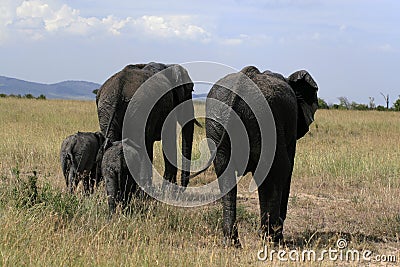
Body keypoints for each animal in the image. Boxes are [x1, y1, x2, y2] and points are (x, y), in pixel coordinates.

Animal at [202, 66, 318, 247]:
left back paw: (232, 244)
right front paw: (277, 238)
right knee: (277, 170)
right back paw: (270, 240)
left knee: (224, 172)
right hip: (264, 119)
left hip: (218, 122)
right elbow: (286, 171)